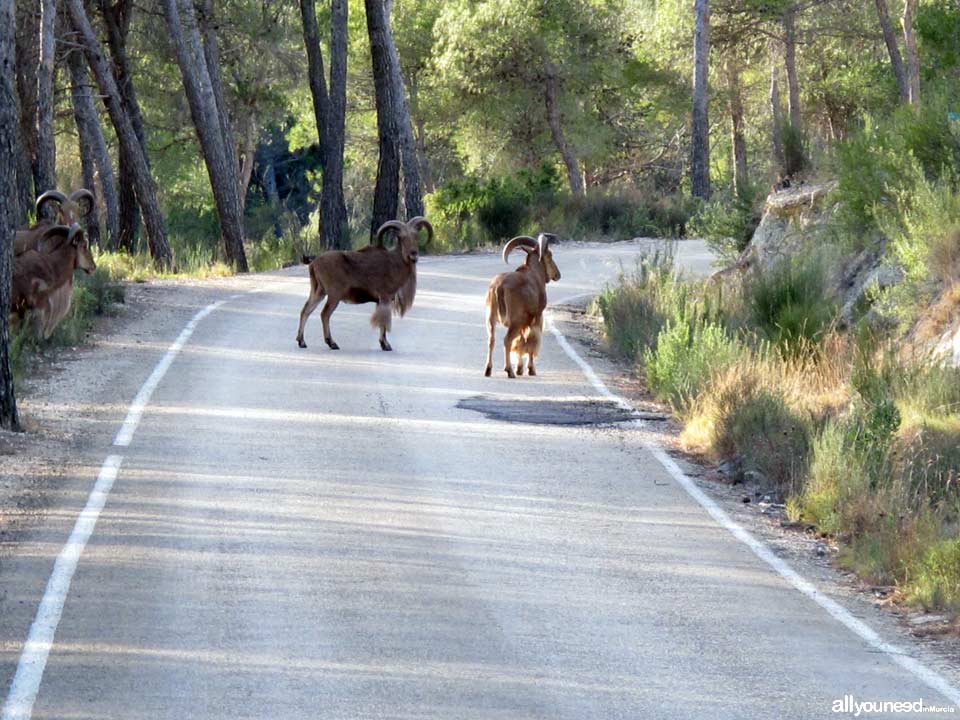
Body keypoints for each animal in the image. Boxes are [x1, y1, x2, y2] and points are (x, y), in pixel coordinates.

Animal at [294, 217, 434, 352]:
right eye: (401, 237)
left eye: (416, 235)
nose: (413, 254)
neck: (395, 261)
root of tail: (313, 262)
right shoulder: (386, 297)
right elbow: (384, 322)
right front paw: (386, 345)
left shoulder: (380, 301)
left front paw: (383, 344)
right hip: (334, 295)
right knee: (324, 314)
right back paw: (332, 343)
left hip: (318, 291)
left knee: (305, 311)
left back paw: (302, 342)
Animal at [484, 233, 560, 380]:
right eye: (550, 255)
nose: (557, 275)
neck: (534, 273)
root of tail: (499, 287)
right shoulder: (537, 317)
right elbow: (531, 341)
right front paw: (530, 369)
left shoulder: (523, 322)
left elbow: (520, 341)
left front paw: (520, 368)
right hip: (515, 322)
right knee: (507, 340)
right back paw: (509, 371)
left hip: (491, 319)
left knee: (491, 340)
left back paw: (488, 370)